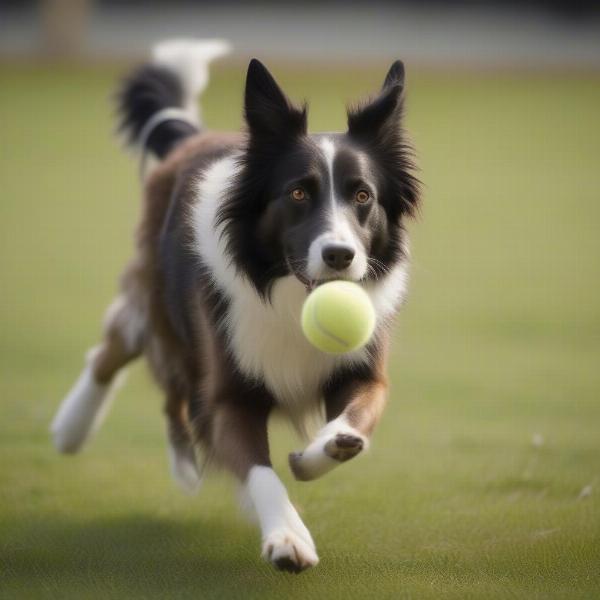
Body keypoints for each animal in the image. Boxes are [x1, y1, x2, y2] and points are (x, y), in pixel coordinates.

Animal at [51, 39, 420, 576]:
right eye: (298, 192)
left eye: (363, 195)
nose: (339, 255)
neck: (290, 297)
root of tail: (191, 140)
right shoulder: (228, 394)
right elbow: (259, 470)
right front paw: (287, 536)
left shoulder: (365, 372)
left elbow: (354, 421)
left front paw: (321, 450)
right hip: (159, 307)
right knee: (119, 344)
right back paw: (73, 429)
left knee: (171, 389)